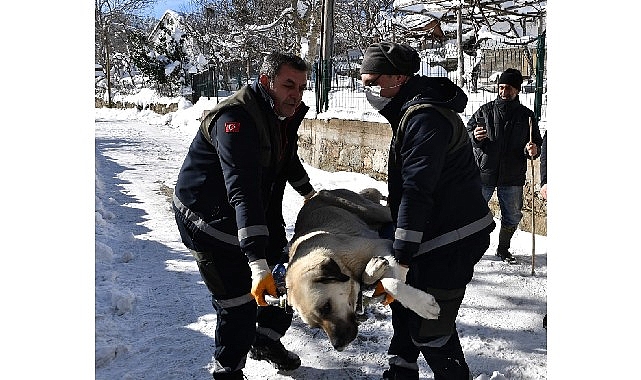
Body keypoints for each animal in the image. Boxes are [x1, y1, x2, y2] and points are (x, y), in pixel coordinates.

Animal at [286, 189, 440, 352]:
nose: (338, 345)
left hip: (373, 211)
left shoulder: (380, 244)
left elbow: (389, 283)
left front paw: (422, 304)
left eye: (326, 307)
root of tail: (317, 194)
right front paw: (372, 270)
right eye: (315, 325)